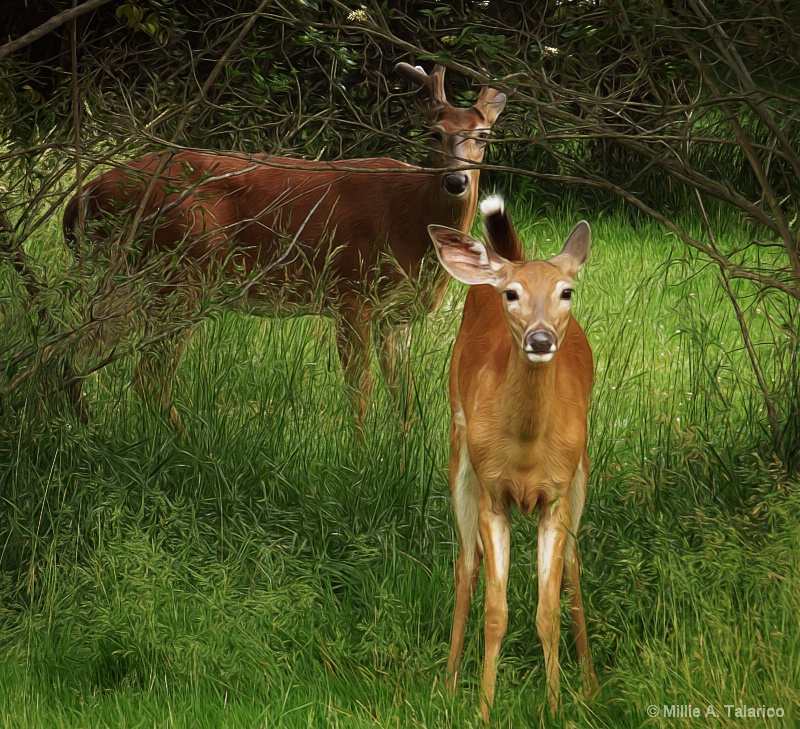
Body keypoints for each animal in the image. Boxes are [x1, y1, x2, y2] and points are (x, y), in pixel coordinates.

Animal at [62, 65, 504, 430]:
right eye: (434, 132)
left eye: (483, 136)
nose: (456, 181)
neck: (410, 219)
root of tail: (87, 193)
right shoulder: (350, 292)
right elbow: (360, 392)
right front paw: (360, 460)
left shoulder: (396, 316)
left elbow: (405, 400)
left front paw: (398, 459)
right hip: (181, 269)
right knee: (147, 376)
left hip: (130, 279)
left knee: (71, 353)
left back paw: (84, 428)